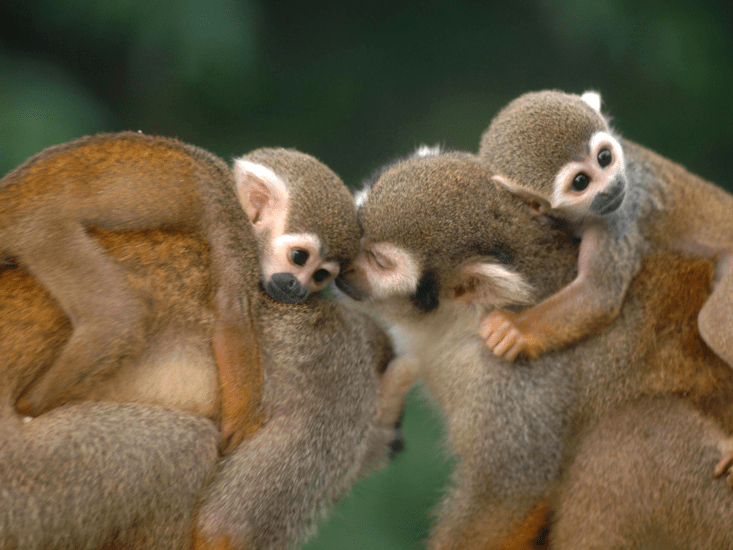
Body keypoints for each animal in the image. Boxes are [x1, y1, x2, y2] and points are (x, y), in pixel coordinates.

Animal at [0, 226, 408, 550]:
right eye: (396, 421)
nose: (398, 442)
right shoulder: (343, 390)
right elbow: (225, 531)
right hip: (26, 476)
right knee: (187, 449)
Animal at [1, 133, 360, 452]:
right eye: (299, 257)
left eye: (320, 276)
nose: (297, 288)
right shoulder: (231, 225)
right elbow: (232, 314)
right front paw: (243, 425)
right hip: (40, 228)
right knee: (117, 316)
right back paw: (30, 404)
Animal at [335, 149, 733, 549]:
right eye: (358, 231)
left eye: (379, 263)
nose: (345, 270)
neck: (461, 321)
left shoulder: (513, 377)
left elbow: (507, 497)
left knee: (631, 432)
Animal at [476, 90, 733, 365]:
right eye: (580, 181)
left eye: (604, 158)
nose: (613, 186)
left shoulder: (617, 218)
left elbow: (599, 293)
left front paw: (516, 329)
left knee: (712, 325)